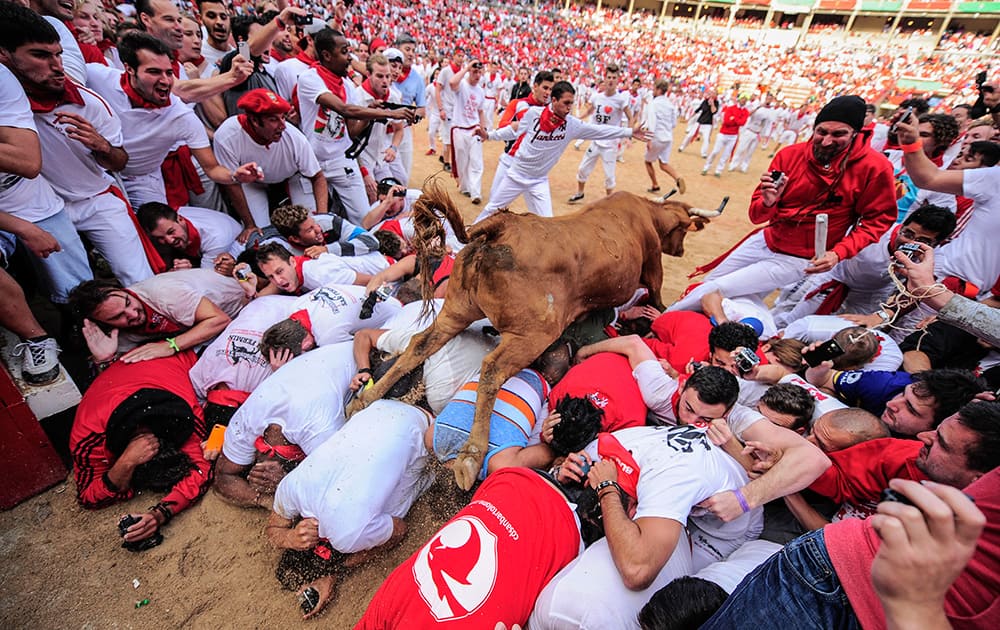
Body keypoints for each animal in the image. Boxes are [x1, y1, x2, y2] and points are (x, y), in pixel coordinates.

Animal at [350, 185, 720, 492]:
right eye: (682, 229)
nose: (681, 249)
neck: (643, 216)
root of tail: (499, 228)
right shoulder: (653, 268)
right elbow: (657, 299)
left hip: (457, 310)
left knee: (420, 344)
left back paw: (365, 400)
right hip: (532, 336)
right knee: (492, 370)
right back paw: (470, 456)